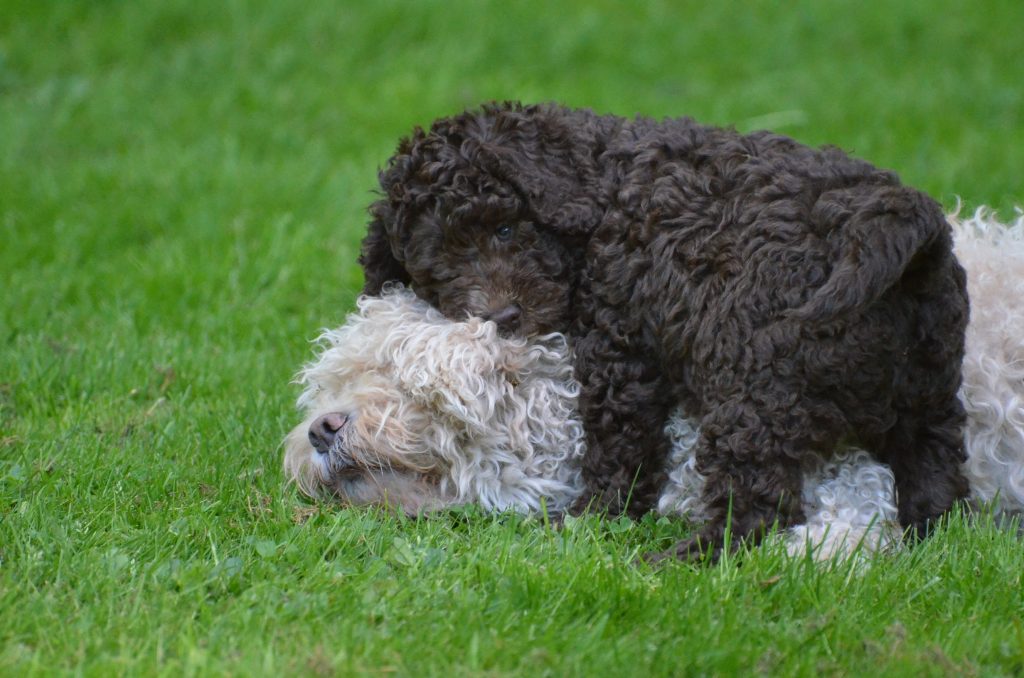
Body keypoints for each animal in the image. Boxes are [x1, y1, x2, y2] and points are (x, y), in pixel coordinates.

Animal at [284, 209, 1024, 561]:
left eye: (401, 378)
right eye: (334, 381)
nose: (323, 427)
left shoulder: (848, 466)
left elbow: (848, 521)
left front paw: (803, 556)